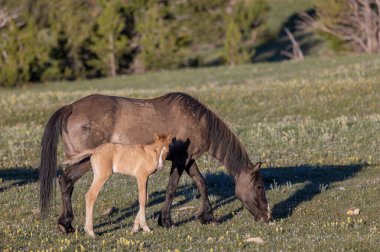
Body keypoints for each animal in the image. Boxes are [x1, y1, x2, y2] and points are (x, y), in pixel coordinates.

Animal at [40, 91, 272, 233]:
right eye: (259, 186)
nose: (267, 216)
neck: (199, 121)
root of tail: (70, 107)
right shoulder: (180, 160)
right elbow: (172, 188)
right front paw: (166, 220)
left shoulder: (189, 160)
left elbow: (201, 183)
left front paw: (207, 216)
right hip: (86, 160)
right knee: (67, 181)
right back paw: (67, 224)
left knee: (66, 182)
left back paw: (66, 224)